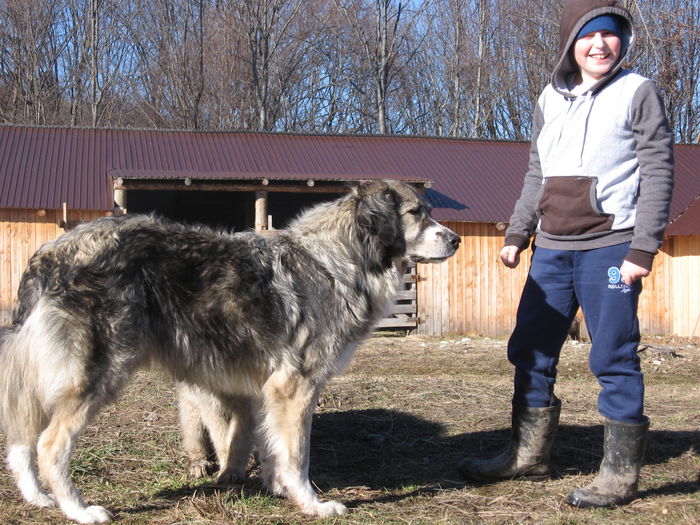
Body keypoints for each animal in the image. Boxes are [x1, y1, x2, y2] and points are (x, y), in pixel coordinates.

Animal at [1, 179, 460, 520]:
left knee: (22, 438)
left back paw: (37, 498)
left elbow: (271, 447)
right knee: (49, 445)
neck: (336, 261)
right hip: (98, 373)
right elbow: (298, 455)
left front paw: (277, 489)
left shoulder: (269, 390)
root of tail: (52, 251)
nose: (455, 240)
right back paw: (77, 510)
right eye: (416, 213)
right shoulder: (296, 387)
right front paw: (312, 504)